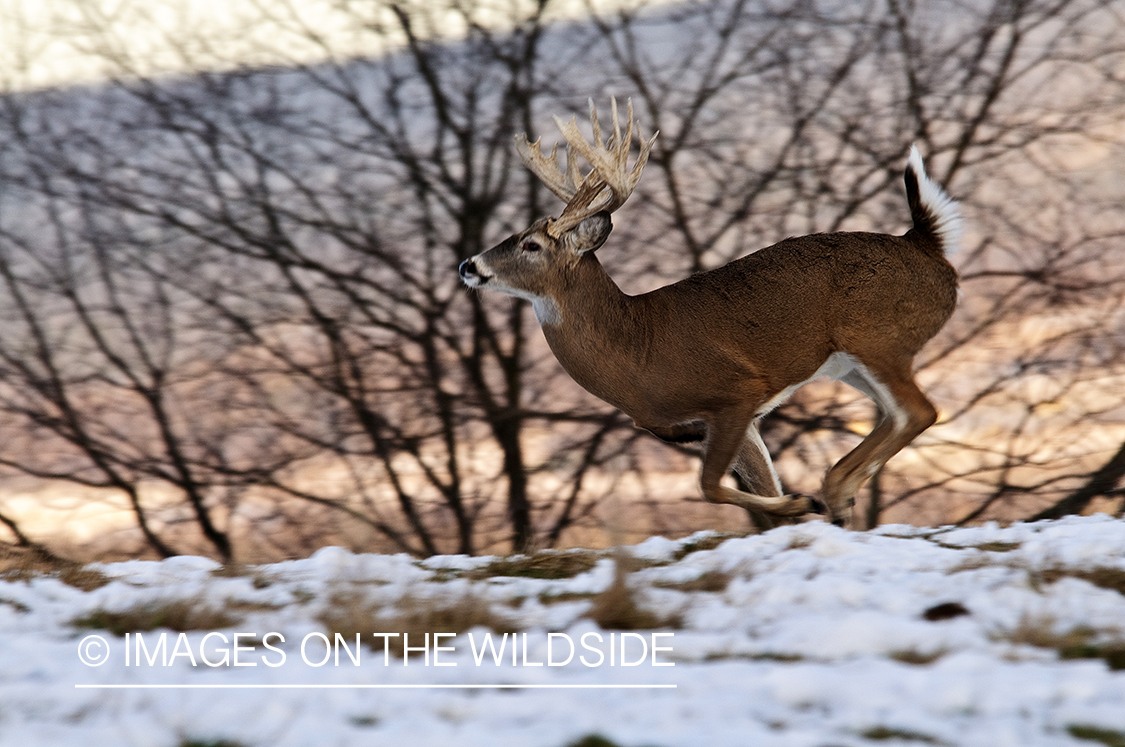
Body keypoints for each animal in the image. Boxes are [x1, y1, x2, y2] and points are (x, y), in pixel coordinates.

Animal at [456, 99, 958, 528]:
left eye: (531, 245)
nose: (468, 265)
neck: (635, 351)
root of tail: (927, 246)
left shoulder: (736, 391)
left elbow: (709, 487)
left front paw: (803, 502)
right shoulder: (717, 424)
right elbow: (759, 492)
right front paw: (797, 510)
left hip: (878, 338)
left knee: (919, 411)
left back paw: (833, 492)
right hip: (850, 364)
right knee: (894, 415)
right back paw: (839, 496)